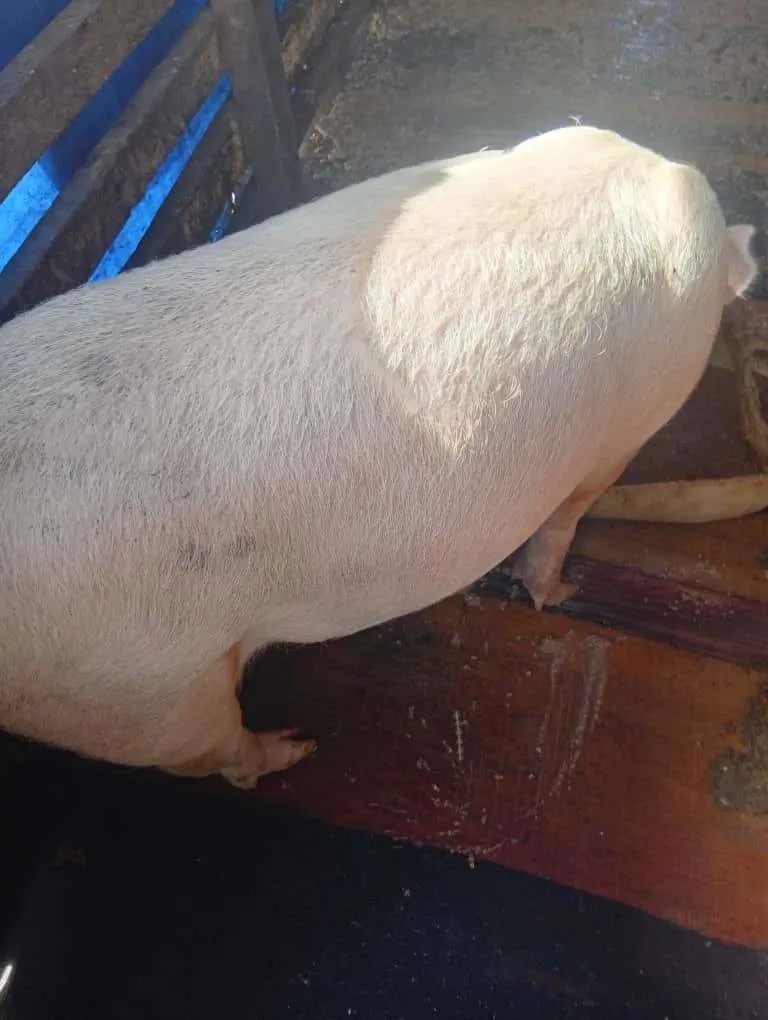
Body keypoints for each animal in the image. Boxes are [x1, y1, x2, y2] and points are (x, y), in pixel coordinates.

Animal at [0, 125, 757, 787]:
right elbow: (564, 520)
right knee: (213, 755)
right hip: (139, 694)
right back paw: (297, 746)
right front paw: (559, 594)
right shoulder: (623, 437)